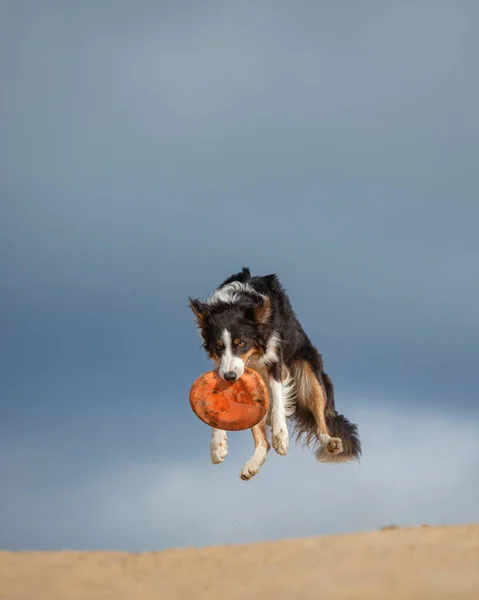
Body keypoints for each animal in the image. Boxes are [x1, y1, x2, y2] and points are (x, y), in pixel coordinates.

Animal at [188, 270, 360, 480]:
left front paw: (281, 437)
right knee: (263, 441)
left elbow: (278, 400)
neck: (235, 301)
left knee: (320, 419)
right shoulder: (222, 367)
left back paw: (330, 442)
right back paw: (252, 464)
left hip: (308, 372)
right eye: (219, 346)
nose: (230, 377)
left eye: (241, 343)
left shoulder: (275, 360)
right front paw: (217, 447)